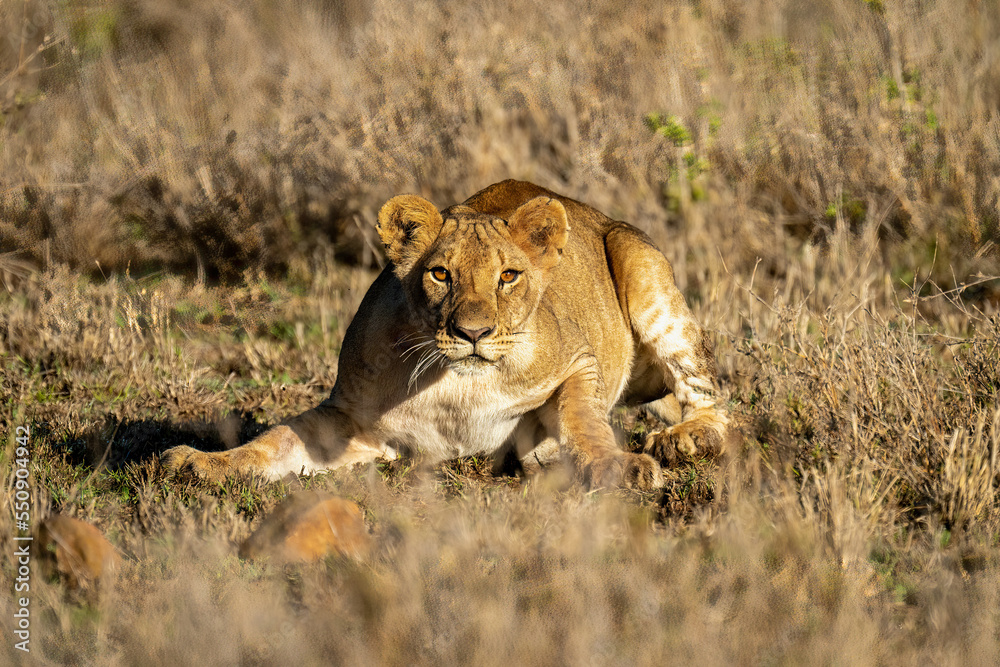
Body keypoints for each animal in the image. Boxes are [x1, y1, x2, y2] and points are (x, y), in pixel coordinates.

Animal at [161, 180, 728, 490]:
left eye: (508, 276)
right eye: (441, 274)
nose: (472, 332)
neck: (459, 385)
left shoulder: (578, 361)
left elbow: (582, 417)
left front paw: (618, 467)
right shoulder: (354, 423)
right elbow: (275, 441)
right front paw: (197, 463)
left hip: (641, 264)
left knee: (715, 402)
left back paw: (683, 440)